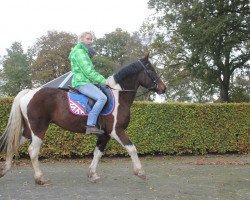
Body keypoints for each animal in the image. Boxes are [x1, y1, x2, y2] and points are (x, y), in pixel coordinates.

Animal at [0, 53, 168, 184]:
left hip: (29, 130)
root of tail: (29, 92)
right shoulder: (116, 131)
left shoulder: (105, 135)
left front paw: (92, 174)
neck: (118, 95)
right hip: (38, 129)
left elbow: (97, 153)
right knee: (33, 151)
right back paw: (40, 178)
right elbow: (132, 148)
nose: (163, 88)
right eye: (151, 70)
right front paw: (140, 172)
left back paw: (5, 170)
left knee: (12, 144)